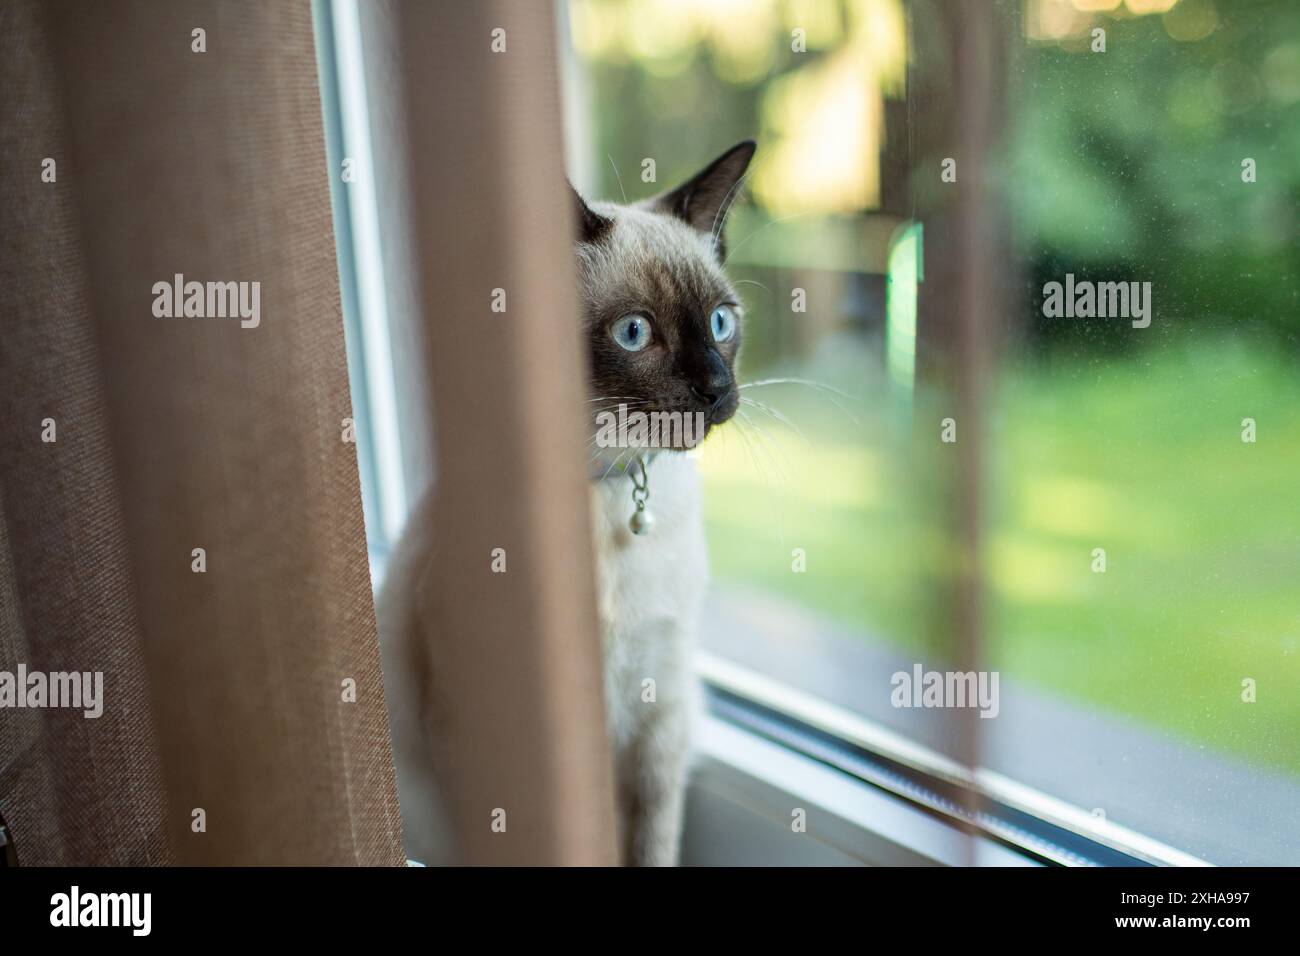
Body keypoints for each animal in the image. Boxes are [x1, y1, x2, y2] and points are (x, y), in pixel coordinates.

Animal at [379, 140, 759, 868]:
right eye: (634, 333)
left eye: (722, 323)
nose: (717, 388)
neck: (607, 485)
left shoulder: (661, 716)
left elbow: (652, 843)